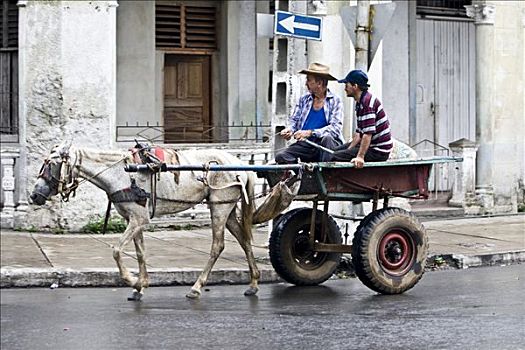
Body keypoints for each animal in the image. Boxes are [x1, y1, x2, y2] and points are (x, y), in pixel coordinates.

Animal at [29, 139, 260, 300]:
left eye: (50, 164)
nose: (34, 196)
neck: (122, 173)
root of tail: (239, 164)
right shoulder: (134, 219)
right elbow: (140, 252)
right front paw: (141, 285)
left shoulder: (138, 219)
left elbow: (117, 250)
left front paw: (132, 281)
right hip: (227, 207)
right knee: (244, 240)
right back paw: (253, 283)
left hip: (219, 207)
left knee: (217, 246)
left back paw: (196, 288)